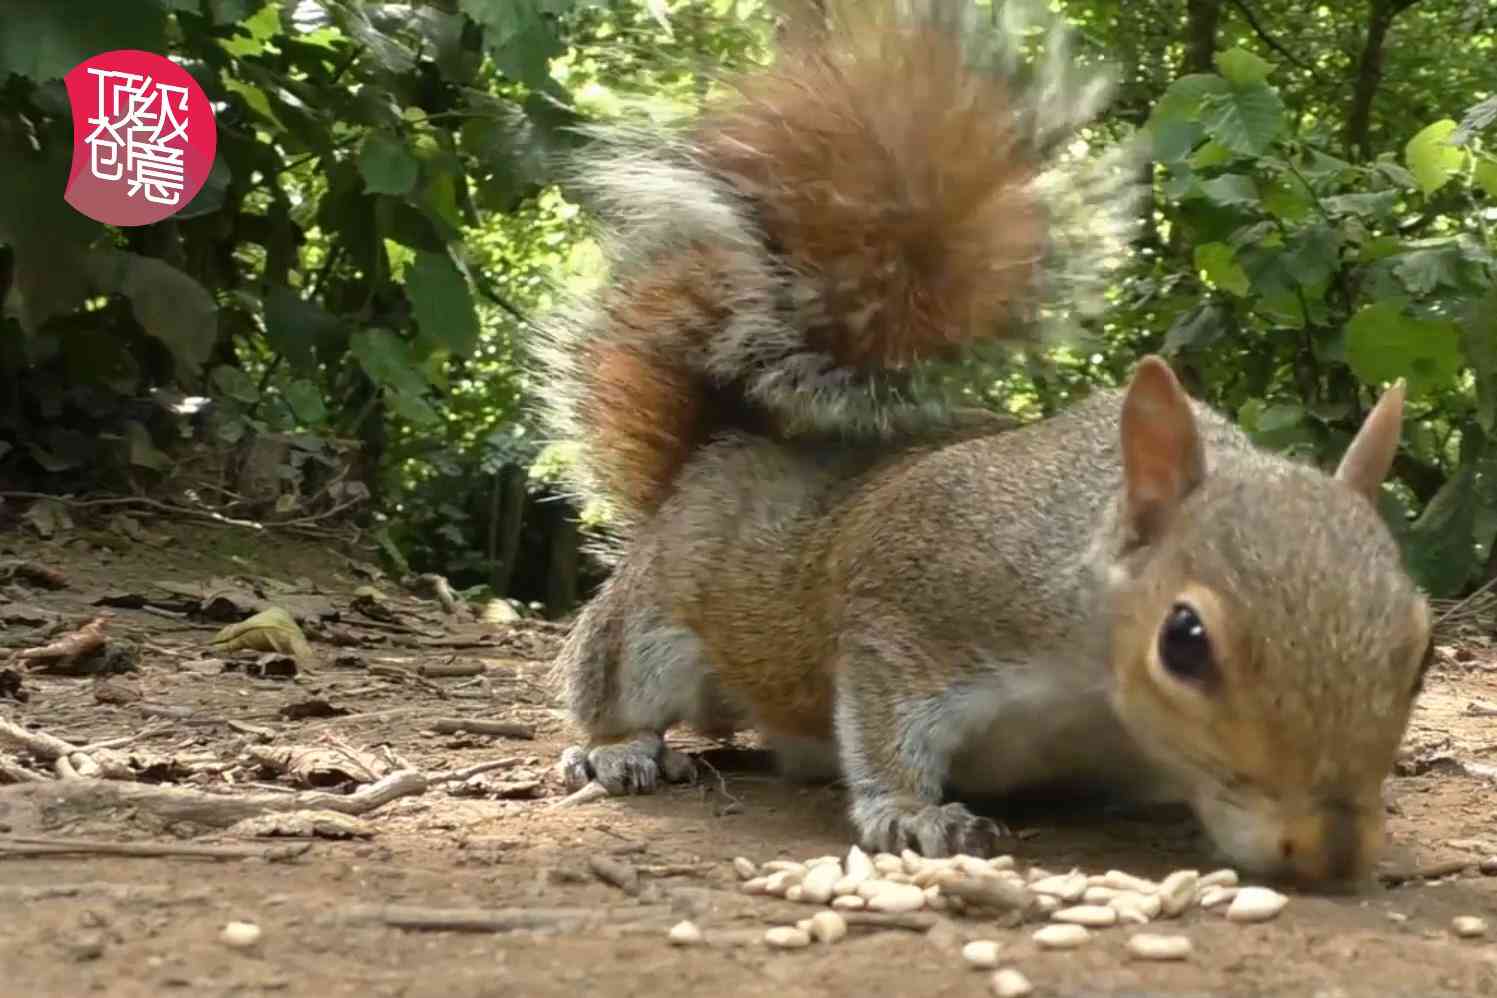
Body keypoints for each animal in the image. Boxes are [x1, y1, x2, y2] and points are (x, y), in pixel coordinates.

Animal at [532, 0, 1431, 891]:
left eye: (1421, 649)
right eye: (1183, 642)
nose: (1330, 851)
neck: (1091, 675)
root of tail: (716, 451)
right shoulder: (912, 610)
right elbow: (884, 725)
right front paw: (912, 814)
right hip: (653, 625)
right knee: (607, 681)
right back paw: (615, 751)